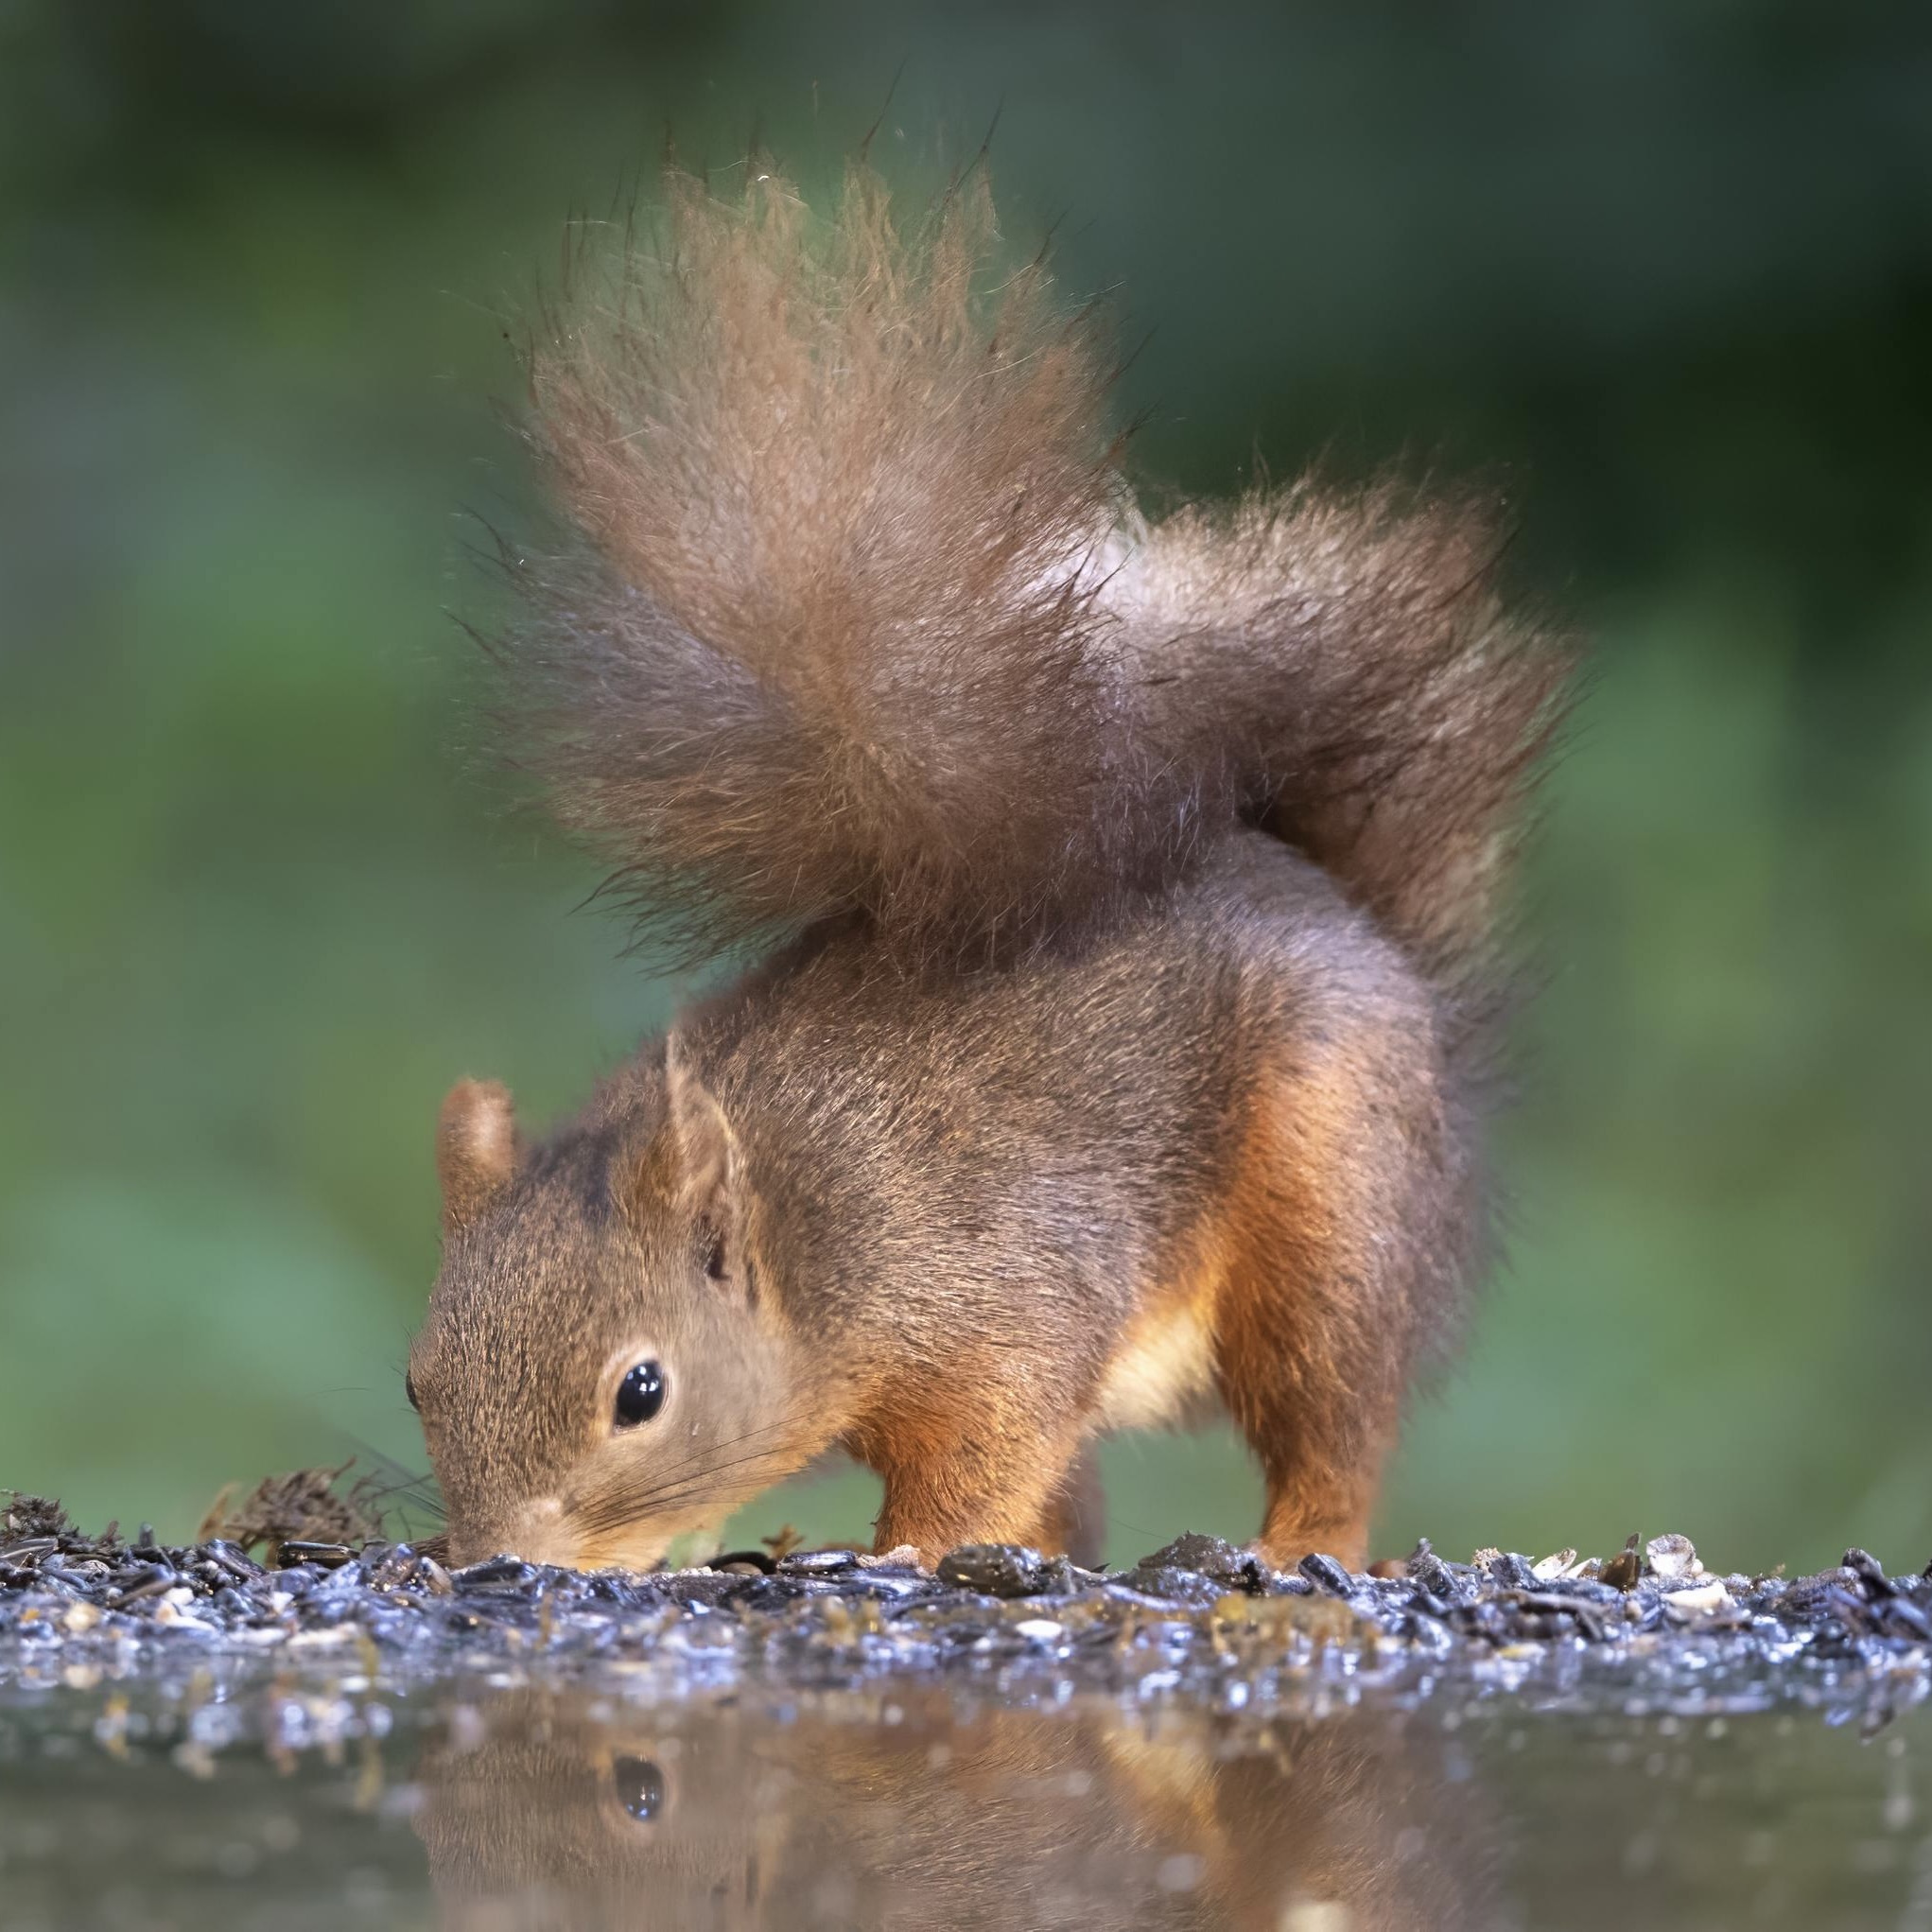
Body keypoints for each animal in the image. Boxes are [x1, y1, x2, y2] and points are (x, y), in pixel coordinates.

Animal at [406, 158, 1570, 1576]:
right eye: (416, 1379)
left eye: (641, 1389)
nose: (489, 1562)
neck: (807, 1228)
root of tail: (1367, 929)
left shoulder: (996, 1293)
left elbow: (988, 1445)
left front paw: (904, 1549)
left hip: (1330, 1203)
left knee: (1331, 1420)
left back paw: (1302, 1543)